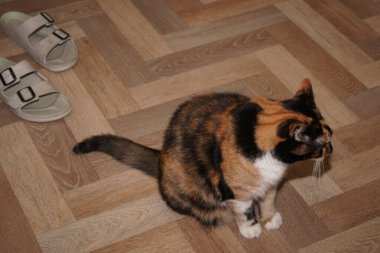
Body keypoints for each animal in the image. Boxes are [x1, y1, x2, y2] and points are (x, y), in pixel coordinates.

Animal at [73, 79, 332, 239]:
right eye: (320, 144)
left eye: (330, 133)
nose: (330, 148)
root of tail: (161, 158)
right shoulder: (236, 192)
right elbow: (246, 211)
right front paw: (251, 229)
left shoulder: (270, 184)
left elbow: (268, 200)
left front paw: (269, 218)